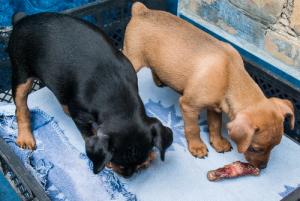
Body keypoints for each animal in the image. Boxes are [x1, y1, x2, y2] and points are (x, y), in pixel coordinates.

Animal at [8, 12, 172, 177]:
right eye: (118, 163)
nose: (128, 176)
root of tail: (22, 19)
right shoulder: (81, 118)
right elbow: (88, 135)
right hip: (21, 75)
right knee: (21, 108)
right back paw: (25, 138)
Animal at [123, 2, 296, 169]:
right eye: (255, 148)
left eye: (274, 147)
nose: (263, 167)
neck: (230, 75)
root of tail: (141, 10)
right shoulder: (188, 106)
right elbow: (193, 128)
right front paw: (197, 147)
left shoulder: (215, 108)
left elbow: (215, 125)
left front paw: (218, 142)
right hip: (133, 59)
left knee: (154, 66)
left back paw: (159, 80)